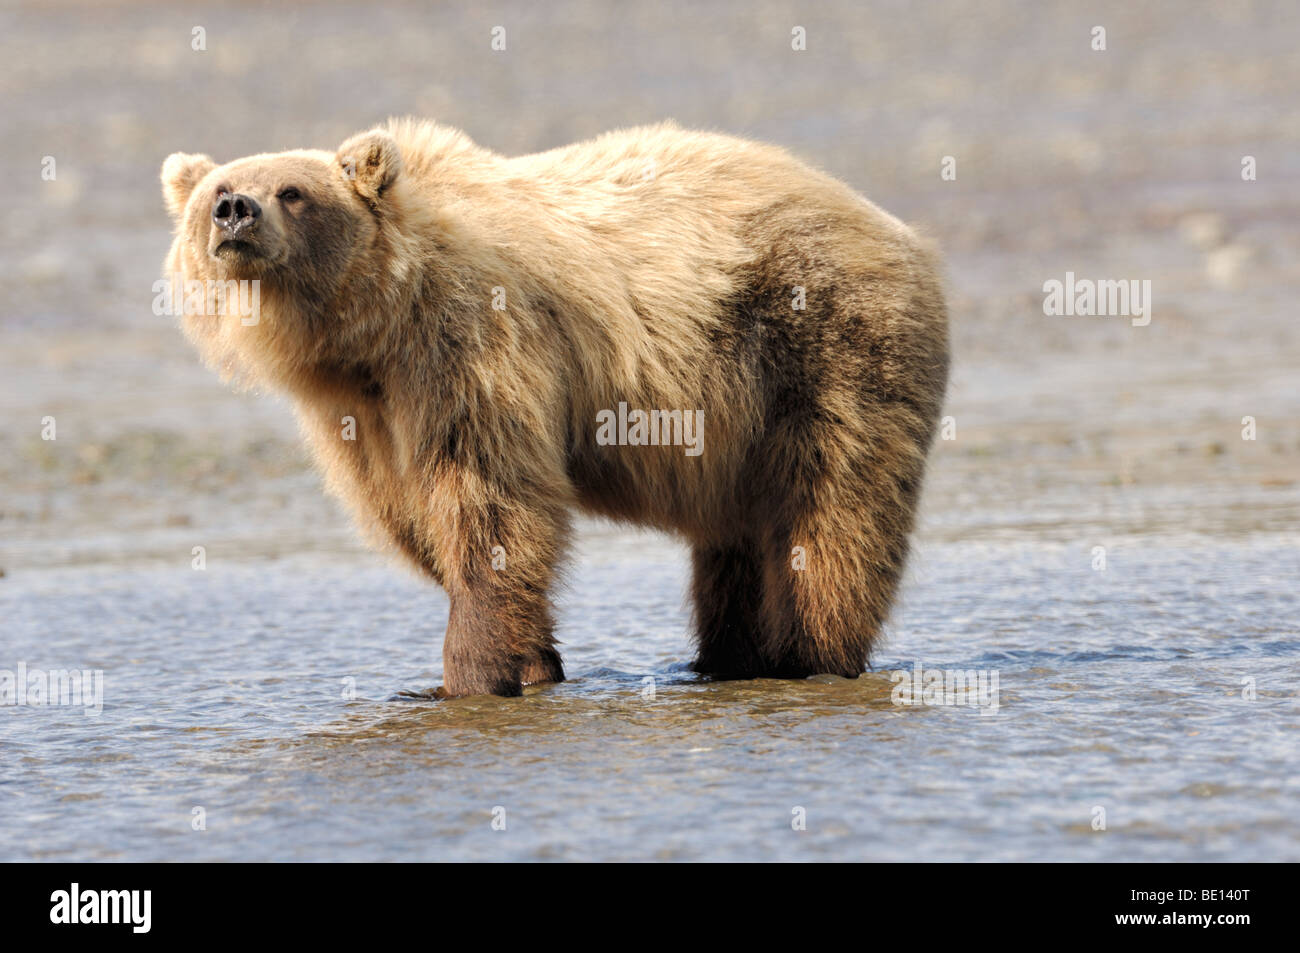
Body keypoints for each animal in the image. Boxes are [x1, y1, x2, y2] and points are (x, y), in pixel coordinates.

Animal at [165, 118, 956, 696]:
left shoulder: (473, 344)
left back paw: (808, 656)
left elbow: (489, 500)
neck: (371, 331)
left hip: (827, 345)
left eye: (293, 190)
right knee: (738, 540)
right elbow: (411, 516)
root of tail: (904, 235)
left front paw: (473, 676)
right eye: (219, 187)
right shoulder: (359, 412)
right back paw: (729, 657)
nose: (235, 212)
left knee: (831, 514)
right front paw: (534, 658)